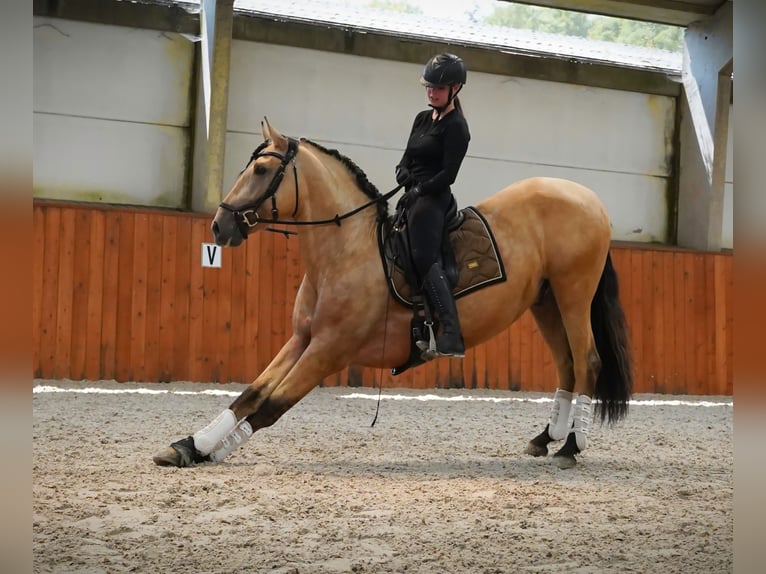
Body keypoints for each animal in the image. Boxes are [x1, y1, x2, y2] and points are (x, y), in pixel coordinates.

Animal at [153, 118, 632, 472]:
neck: (345, 252)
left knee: (587, 361)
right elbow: (249, 394)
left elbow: (271, 405)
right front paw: (189, 446)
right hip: (545, 303)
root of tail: (590, 198)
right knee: (567, 365)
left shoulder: (328, 350)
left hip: (573, 295)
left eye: (261, 171)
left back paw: (570, 447)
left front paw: (216, 450)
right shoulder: (302, 340)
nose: (220, 226)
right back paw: (545, 439)